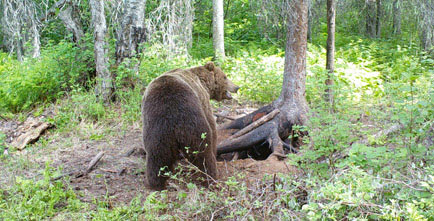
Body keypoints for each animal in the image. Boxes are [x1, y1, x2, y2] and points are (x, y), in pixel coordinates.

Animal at [142, 61, 239, 190]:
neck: (204, 83)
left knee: (157, 158)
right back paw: (211, 178)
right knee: (204, 152)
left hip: (156, 131)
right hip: (193, 123)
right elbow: (212, 126)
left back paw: (156, 183)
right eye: (225, 77)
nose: (237, 87)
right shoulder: (203, 100)